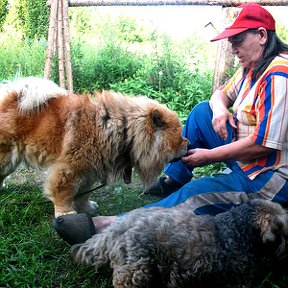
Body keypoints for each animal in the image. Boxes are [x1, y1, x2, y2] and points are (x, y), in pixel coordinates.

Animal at [0, 76, 188, 216]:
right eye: (179, 136)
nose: (189, 143)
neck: (124, 130)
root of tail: (10, 98)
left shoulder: (89, 170)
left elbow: (83, 193)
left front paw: (87, 207)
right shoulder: (69, 170)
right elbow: (63, 193)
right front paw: (65, 214)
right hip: (7, 157)